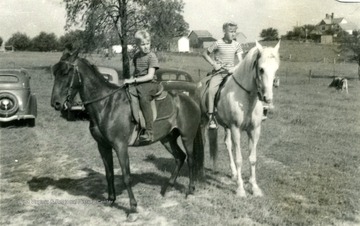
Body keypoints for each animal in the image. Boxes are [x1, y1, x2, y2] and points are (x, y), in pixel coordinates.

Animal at [50, 51, 204, 212]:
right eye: (55, 72)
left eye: (66, 72)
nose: (56, 103)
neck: (106, 105)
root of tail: (191, 100)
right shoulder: (103, 146)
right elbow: (109, 173)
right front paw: (111, 200)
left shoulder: (120, 146)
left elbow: (126, 176)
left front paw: (133, 206)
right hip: (167, 138)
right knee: (180, 157)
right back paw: (167, 188)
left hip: (187, 137)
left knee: (190, 160)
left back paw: (189, 190)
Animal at [200, 41, 282, 197]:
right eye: (261, 69)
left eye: (276, 69)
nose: (267, 98)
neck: (247, 97)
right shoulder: (236, 129)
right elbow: (239, 159)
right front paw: (240, 189)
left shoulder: (254, 130)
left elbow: (252, 159)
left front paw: (254, 187)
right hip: (204, 122)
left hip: (226, 127)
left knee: (227, 144)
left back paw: (232, 173)